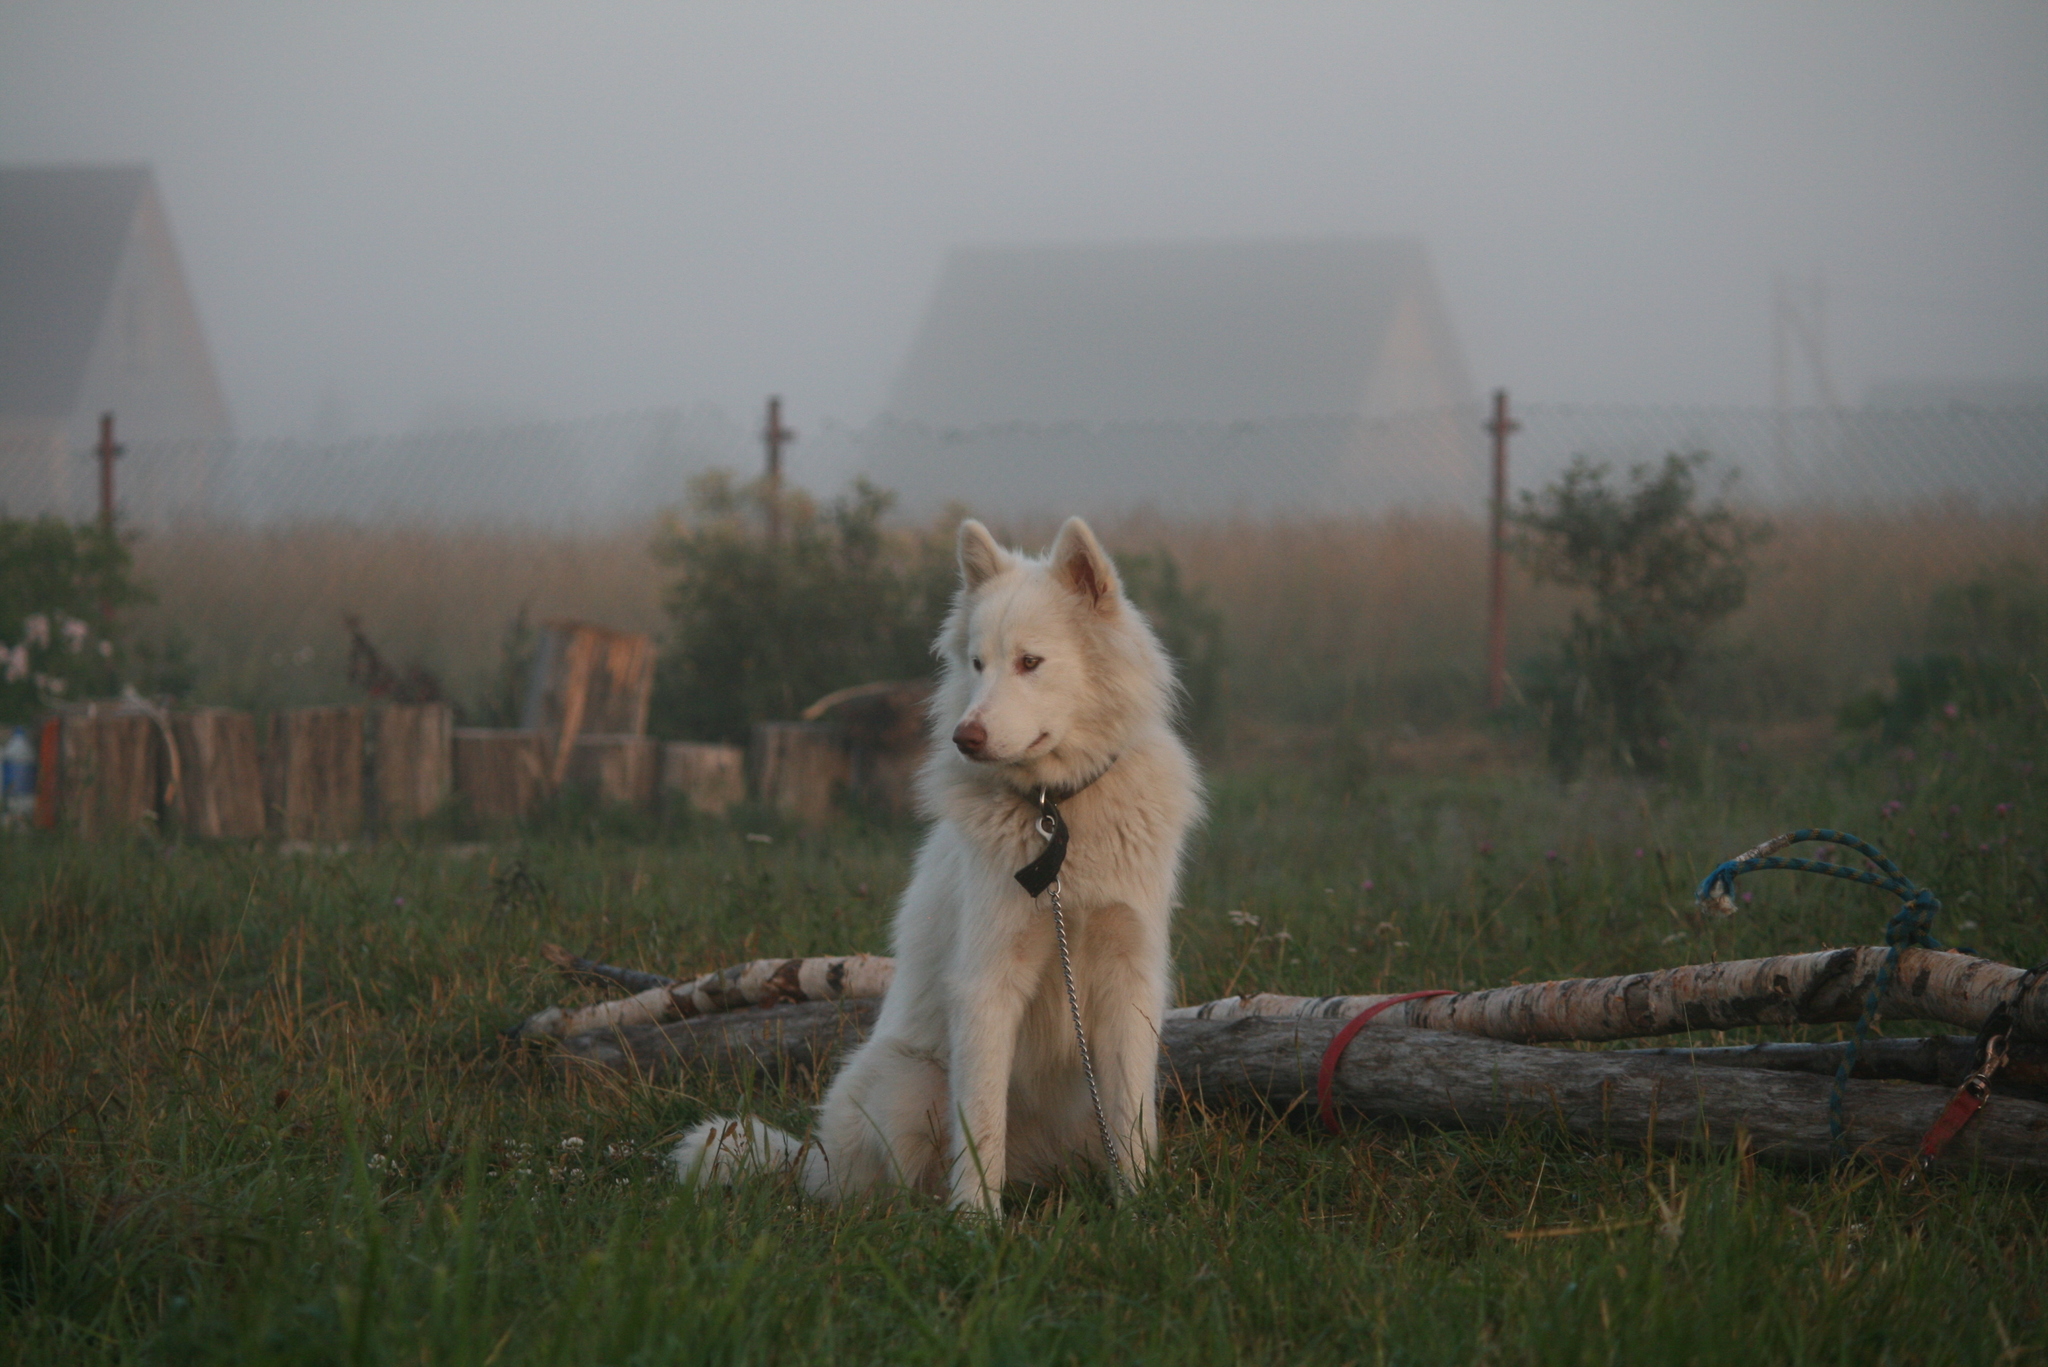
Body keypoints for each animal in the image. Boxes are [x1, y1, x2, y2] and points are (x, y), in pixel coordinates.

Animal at [675, 518, 1196, 1213]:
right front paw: (977, 1223)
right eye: (978, 664)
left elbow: (1133, 1119)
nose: (965, 738)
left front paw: (1139, 1209)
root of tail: (811, 1162)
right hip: (909, 1081)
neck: (1056, 815)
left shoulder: (1129, 980)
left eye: (1030, 662)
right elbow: (980, 1125)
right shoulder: (987, 982)